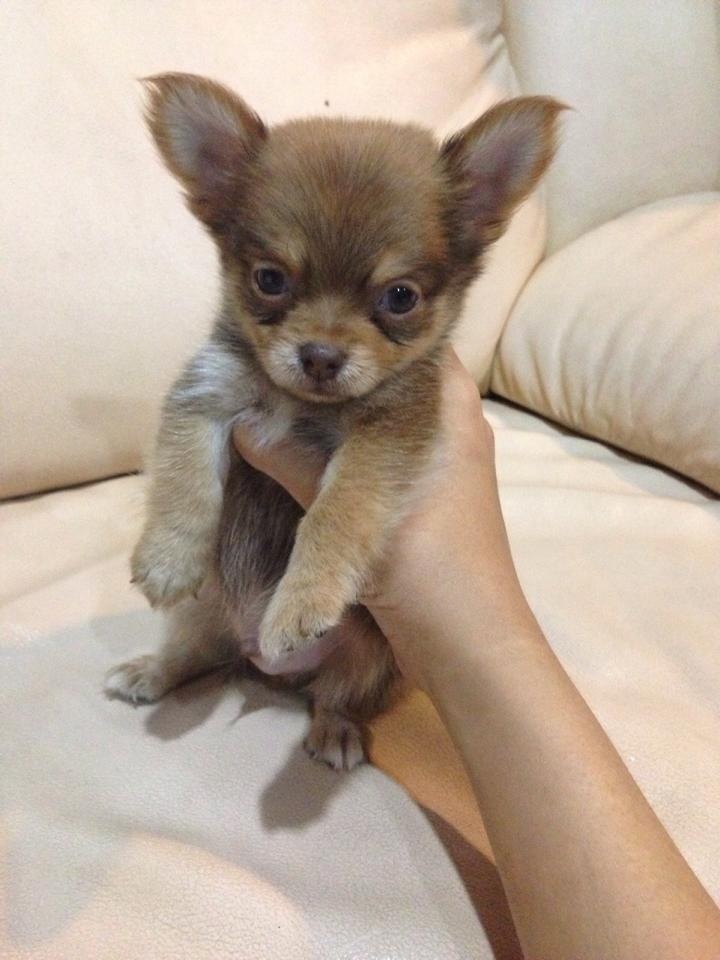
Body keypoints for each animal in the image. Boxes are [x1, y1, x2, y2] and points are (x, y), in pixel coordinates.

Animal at [104, 73, 562, 769]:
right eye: (269, 280)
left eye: (400, 297)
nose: (320, 355)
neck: (302, 403)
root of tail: (262, 666)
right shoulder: (206, 393)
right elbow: (183, 475)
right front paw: (167, 557)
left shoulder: (384, 439)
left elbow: (335, 513)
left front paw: (303, 599)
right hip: (206, 610)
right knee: (199, 652)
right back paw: (152, 671)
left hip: (372, 658)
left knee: (333, 693)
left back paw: (334, 730)